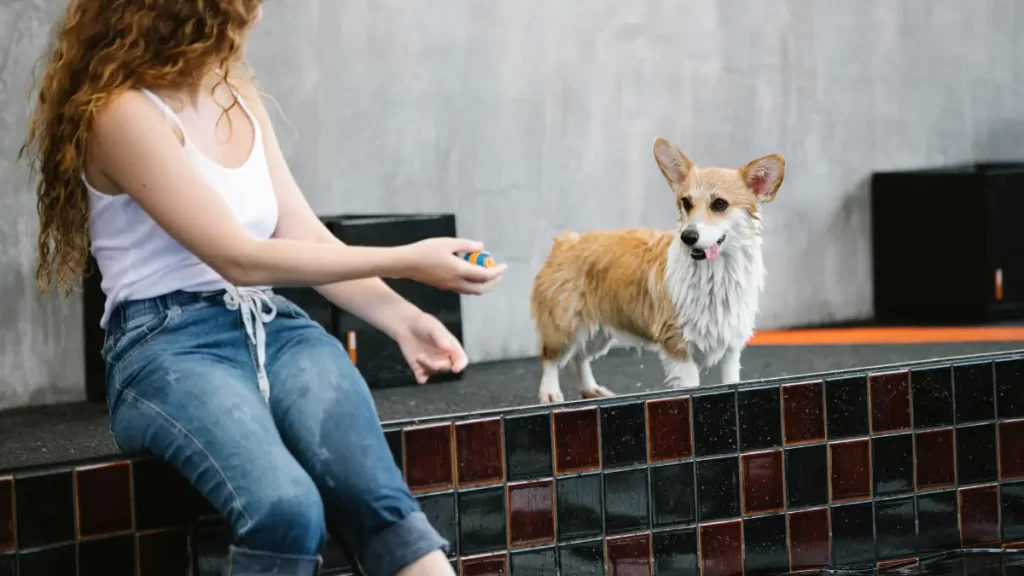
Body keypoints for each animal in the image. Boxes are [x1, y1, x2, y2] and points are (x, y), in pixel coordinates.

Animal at [528, 136, 782, 401]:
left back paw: (590, 389)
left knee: (579, 357)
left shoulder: (731, 347)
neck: (715, 273)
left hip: (597, 332)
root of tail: (565, 241)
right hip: (564, 326)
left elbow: (731, 381)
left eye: (720, 204)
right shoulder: (678, 345)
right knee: (551, 358)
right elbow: (691, 385)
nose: (688, 237)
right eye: (686, 203)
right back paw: (549, 393)